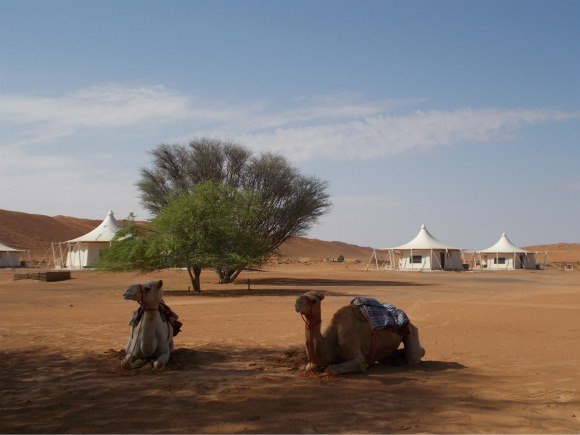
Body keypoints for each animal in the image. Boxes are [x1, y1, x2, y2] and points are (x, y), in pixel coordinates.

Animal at [294, 292, 426, 376]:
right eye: (303, 294)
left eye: (314, 300)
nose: (297, 302)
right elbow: (309, 366)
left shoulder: (358, 358)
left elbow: (330, 369)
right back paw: (394, 360)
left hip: (411, 330)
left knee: (415, 356)